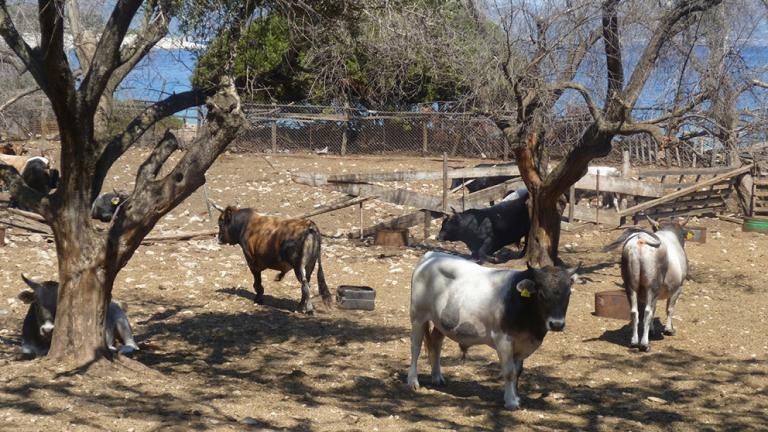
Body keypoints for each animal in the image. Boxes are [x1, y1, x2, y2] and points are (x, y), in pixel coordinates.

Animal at [408, 250, 576, 408]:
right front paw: (511, 402)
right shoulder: (503, 340)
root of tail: (431, 255)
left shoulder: (522, 344)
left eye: (568, 293)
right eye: (541, 294)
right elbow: (509, 372)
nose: (557, 324)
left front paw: (515, 397)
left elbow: (517, 372)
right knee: (416, 347)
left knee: (436, 343)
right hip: (418, 316)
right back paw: (413, 381)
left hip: (442, 322)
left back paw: (437, 377)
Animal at [604, 216, 692, 352]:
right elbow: (669, 309)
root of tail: (640, 240)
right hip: (652, 286)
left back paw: (634, 341)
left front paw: (652, 330)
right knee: (647, 311)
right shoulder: (678, 287)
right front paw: (669, 329)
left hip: (631, 286)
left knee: (634, 311)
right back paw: (644, 344)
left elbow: (655, 309)